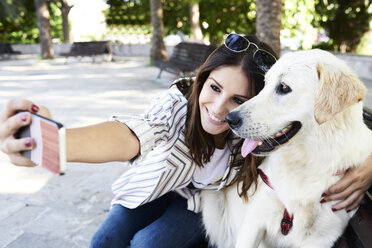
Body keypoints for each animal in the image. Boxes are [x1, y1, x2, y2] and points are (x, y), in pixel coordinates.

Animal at [202, 49, 372, 247]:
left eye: (283, 88)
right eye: (265, 84)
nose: (230, 119)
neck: (306, 162)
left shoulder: (321, 238)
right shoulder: (255, 219)